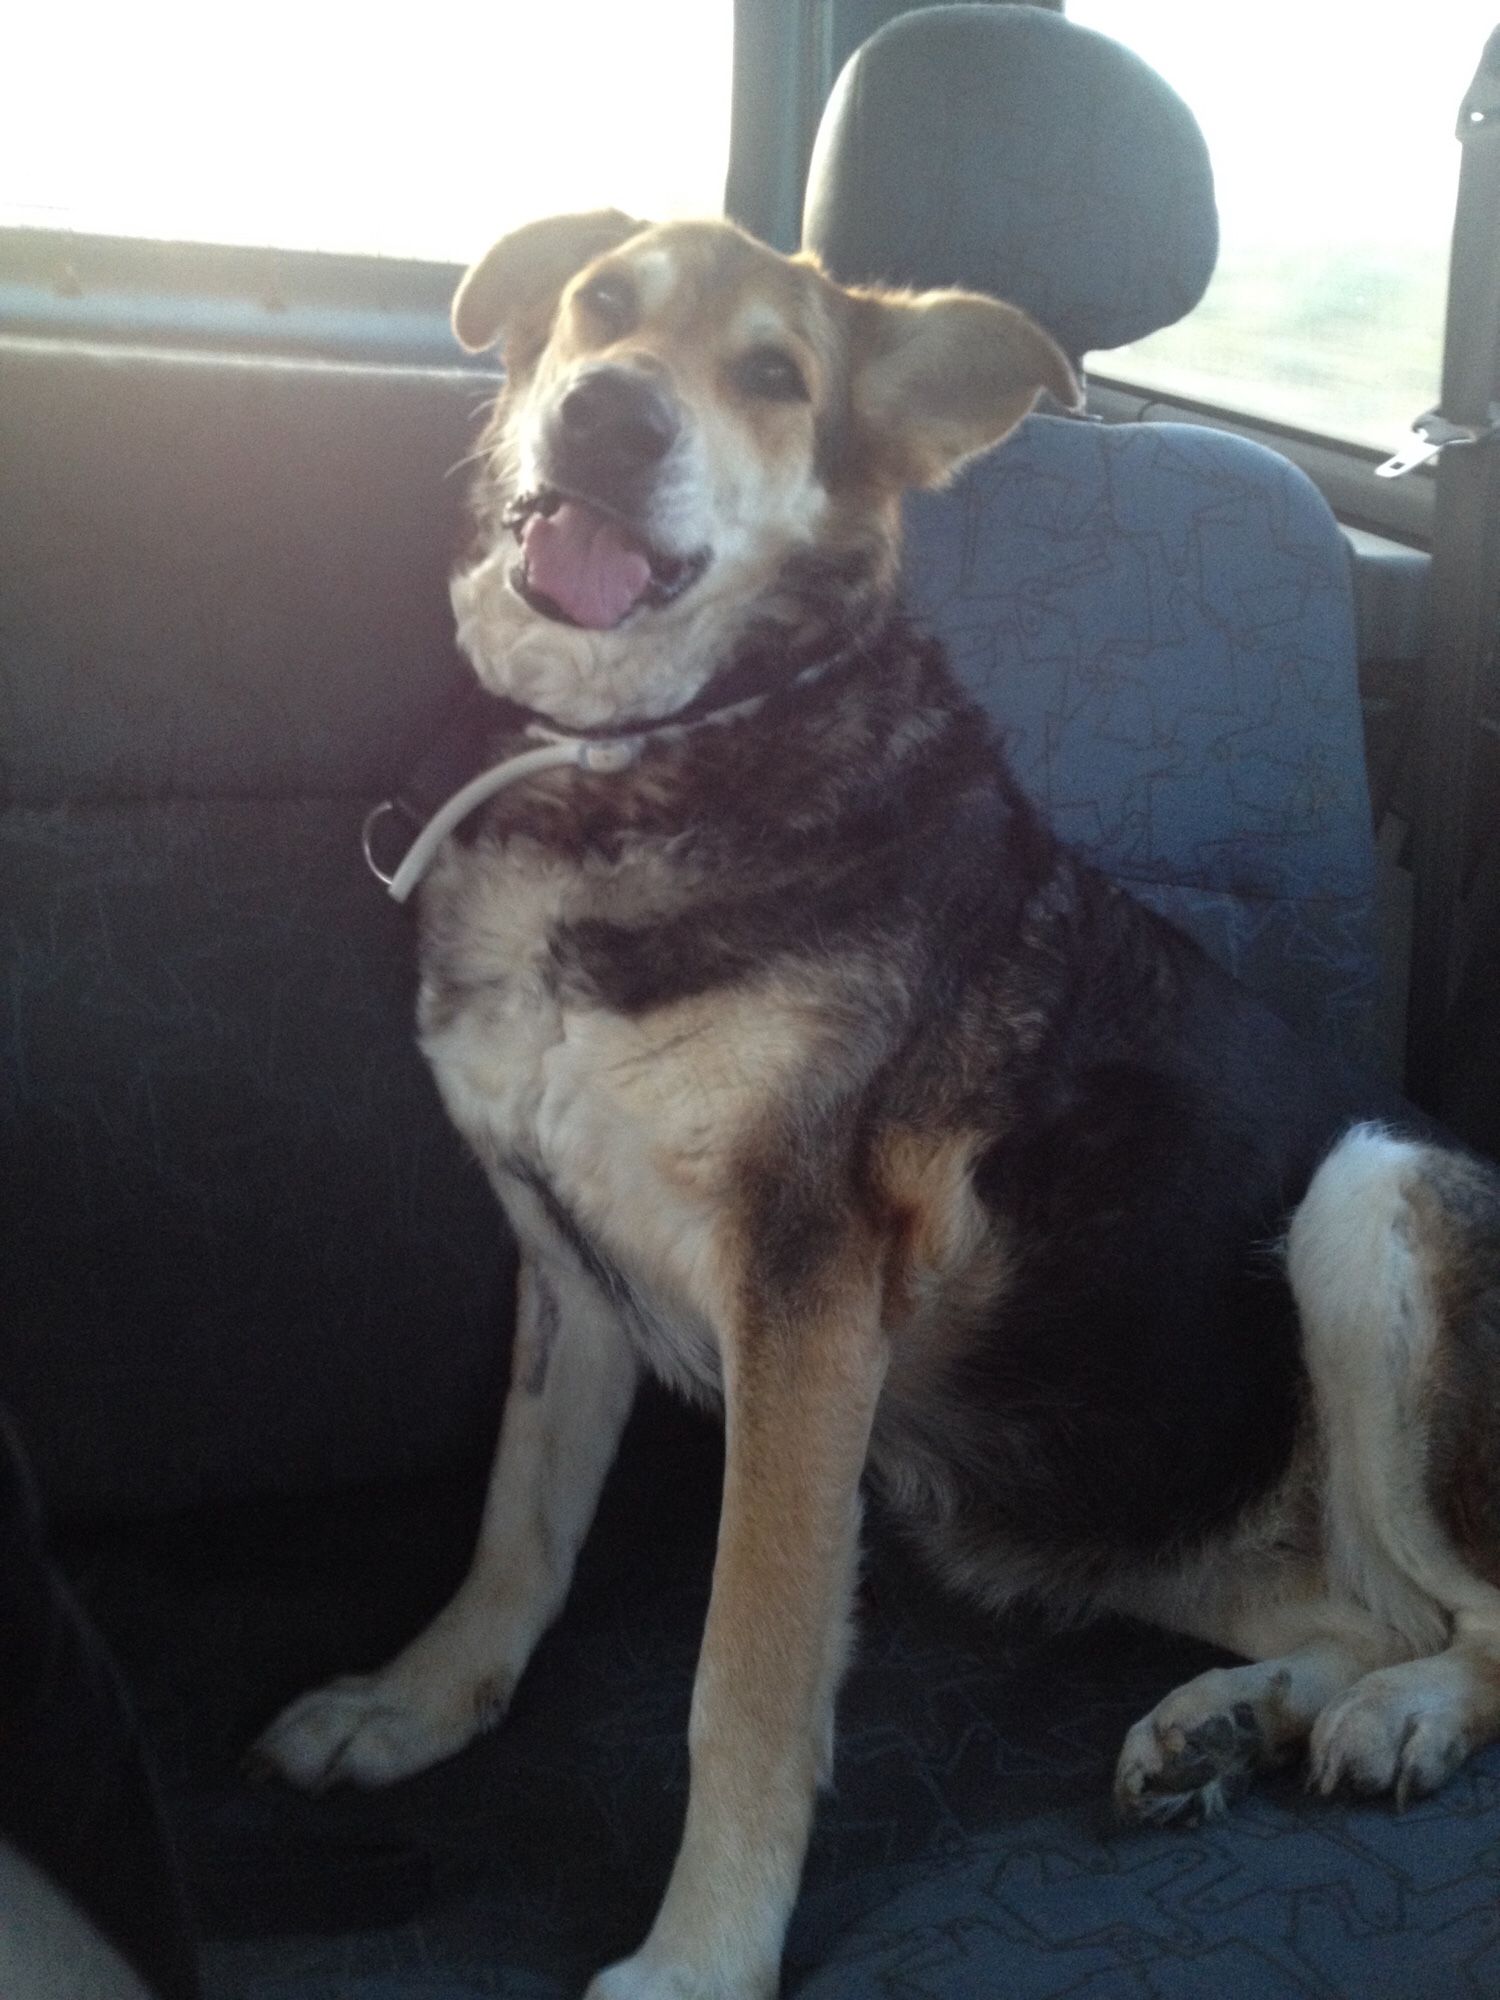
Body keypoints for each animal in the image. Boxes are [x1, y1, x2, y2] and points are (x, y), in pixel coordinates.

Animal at [256, 211, 1500, 1992]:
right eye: (602, 307)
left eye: (778, 376)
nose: (611, 419)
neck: (646, 747)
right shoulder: (565, 1267)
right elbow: (515, 1532)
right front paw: (413, 1708)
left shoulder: (806, 1300)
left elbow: (747, 1675)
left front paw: (700, 1958)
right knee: (1369, 1610)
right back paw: (1229, 1721)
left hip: (1375, 1189)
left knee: (1477, 1616)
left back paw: (1403, 1718)